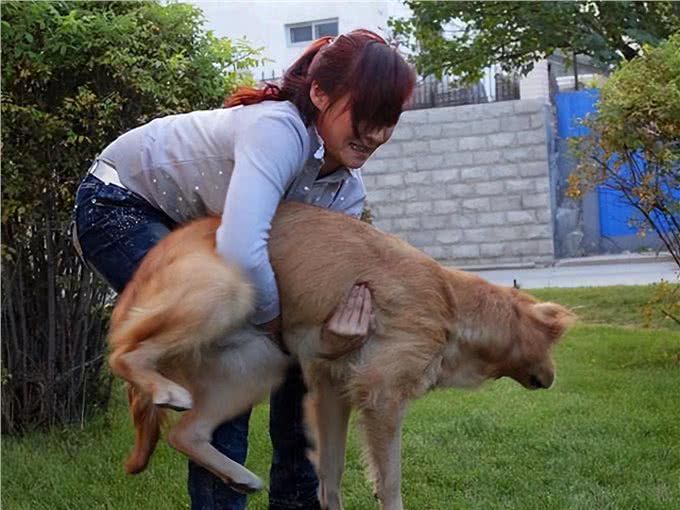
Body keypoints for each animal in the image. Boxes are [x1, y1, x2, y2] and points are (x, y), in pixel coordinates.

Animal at [107, 200, 572, 510]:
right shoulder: (382, 398)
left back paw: (239, 476)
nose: (553, 379)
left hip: (260, 364)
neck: (452, 306)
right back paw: (160, 386)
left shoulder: (333, 389)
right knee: (122, 355)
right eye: (551, 345)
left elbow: (331, 472)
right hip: (227, 290)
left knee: (185, 433)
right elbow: (390, 481)